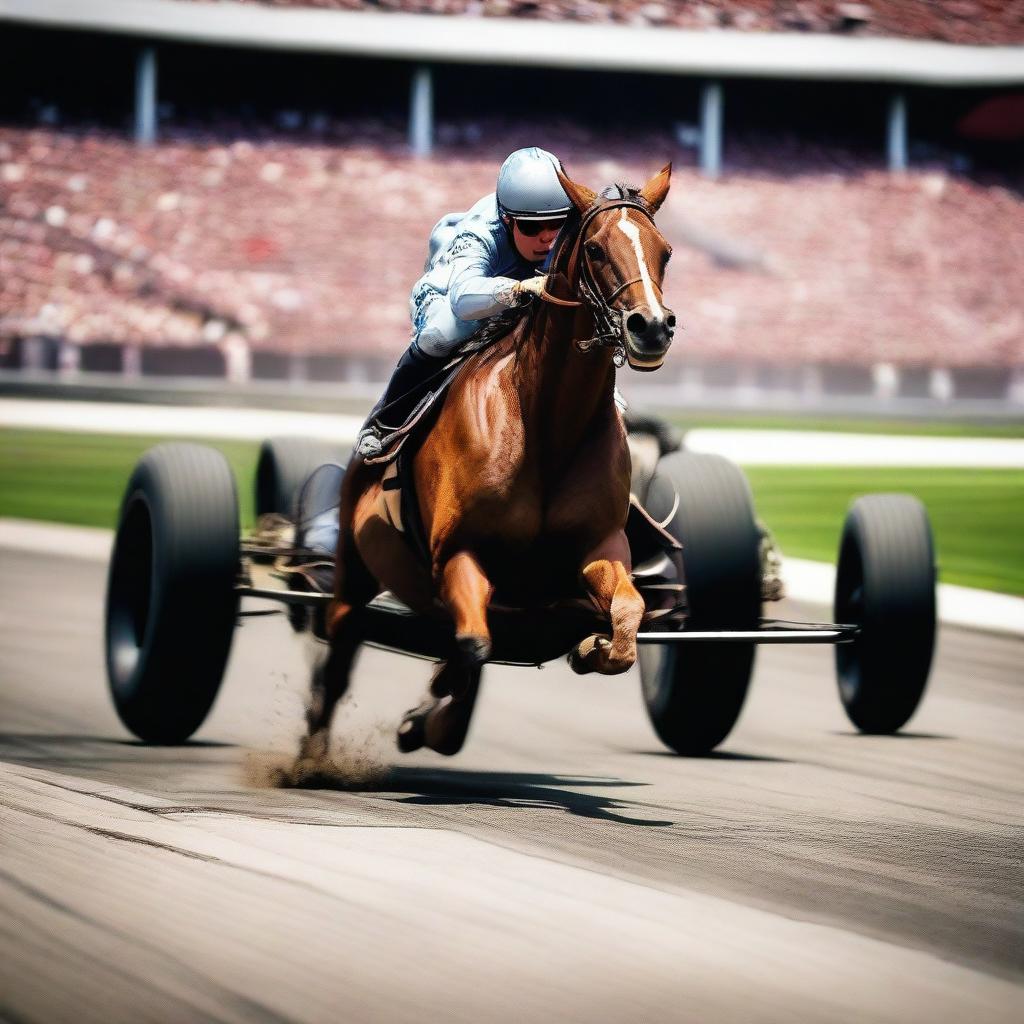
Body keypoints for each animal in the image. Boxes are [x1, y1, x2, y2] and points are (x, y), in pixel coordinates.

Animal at [299, 165, 675, 761]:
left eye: (664, 250)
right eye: (594, 248)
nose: (652, 327)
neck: (546, 426)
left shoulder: (600, 546)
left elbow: (624, 621)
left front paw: (588, 647)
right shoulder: (460, 552)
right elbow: (473, 646)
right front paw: (426, 718)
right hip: (353, 575)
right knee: (337, 659)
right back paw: (311, 758)